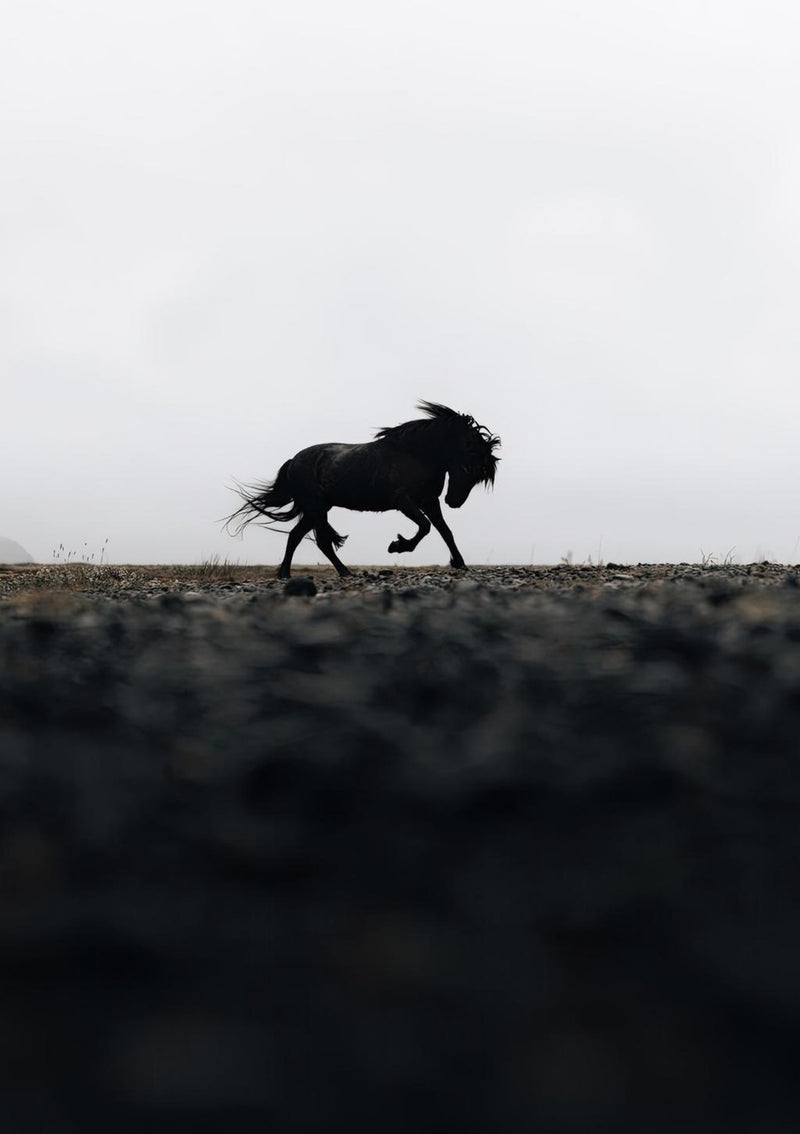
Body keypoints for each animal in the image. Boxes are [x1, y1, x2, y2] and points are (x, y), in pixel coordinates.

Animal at [225, 400, 500, 578]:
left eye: (479, 474)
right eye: (468, 465)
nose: (454, 501)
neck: (416, 454)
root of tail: (293, 460)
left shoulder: (430, 502)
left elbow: (445, 531)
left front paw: (460, 564)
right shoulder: (404, 501)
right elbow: (425, 527)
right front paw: (397, 546)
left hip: (318, 509)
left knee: (302, 537)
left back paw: (330, 572)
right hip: (316, 508)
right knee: (313, 540)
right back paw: (305, 573)